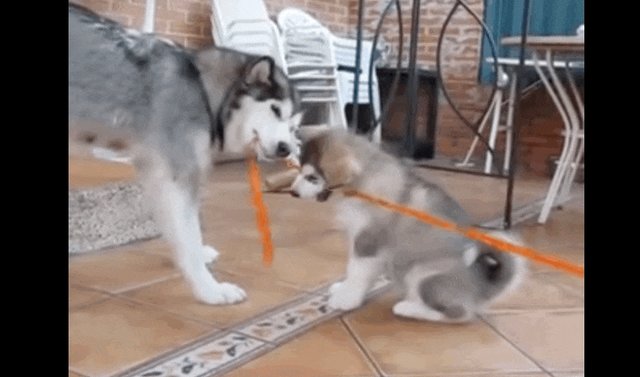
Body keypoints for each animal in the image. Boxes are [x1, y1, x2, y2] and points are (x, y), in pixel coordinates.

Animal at [69, 2, 304, 302]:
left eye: (293, 126)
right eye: (275, 110)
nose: (286, 148)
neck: (202, 87)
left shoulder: (157, 173)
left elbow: (178, 231)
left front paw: (196, 259)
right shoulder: (180, 174)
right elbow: (189, 235)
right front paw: (209, 289)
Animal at [290, 131, 524, 322]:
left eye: (312, 177)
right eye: (300, 171)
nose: (293, 193)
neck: (364, 182)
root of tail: (480, 289)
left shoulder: (368, 242)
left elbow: (356, 270)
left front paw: (346, 298)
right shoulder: (359, 239)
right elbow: (355, 270)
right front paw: (345, 288)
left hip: (422, 275)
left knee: (458, 314)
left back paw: (409, 308)